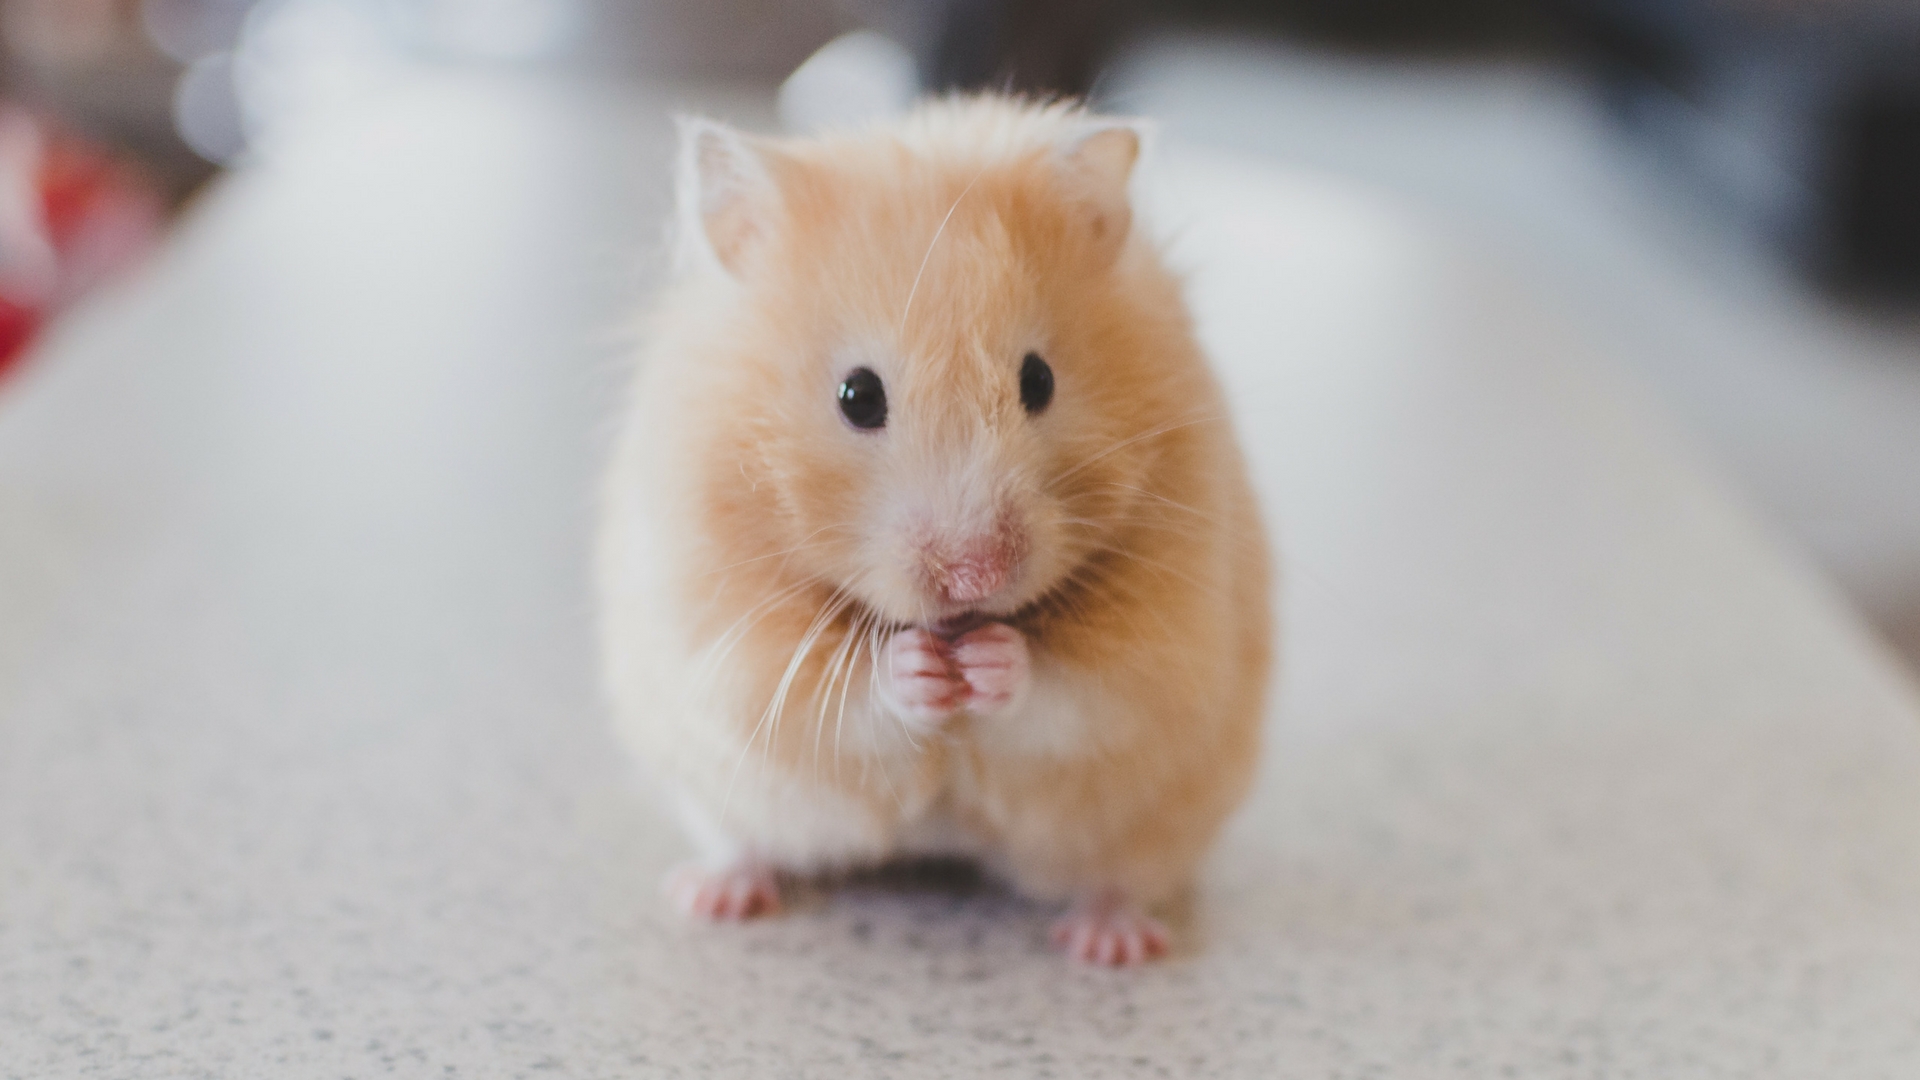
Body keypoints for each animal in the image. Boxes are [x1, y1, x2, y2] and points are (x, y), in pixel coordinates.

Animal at [597, 96, 1273, 965]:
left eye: (1039, 380)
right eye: (857, 396)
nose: (976, 576)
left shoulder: (1165, 645)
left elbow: (1076, 692)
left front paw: (989, 662)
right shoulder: (727, 641)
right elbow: (840, 694)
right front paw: (919, 668)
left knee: (1119, 877)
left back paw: (1110, 943)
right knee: (742, 842)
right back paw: (712, 896)